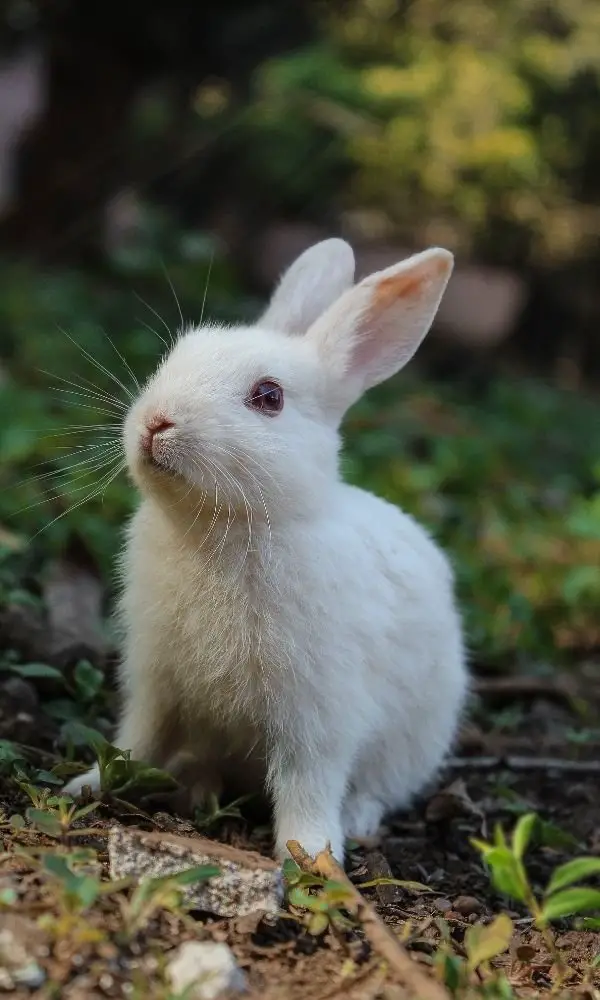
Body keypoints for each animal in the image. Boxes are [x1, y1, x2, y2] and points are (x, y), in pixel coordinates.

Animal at [67, 240, 468, 860]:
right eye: (175, 356)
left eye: (269, 397)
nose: (156, 422)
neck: (224, 527)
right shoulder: (156, 682)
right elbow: (138, 740)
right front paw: (89, 784)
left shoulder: (317, 713)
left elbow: (308, 783)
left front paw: (312, 856)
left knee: (377, 788)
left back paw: (357, 820)